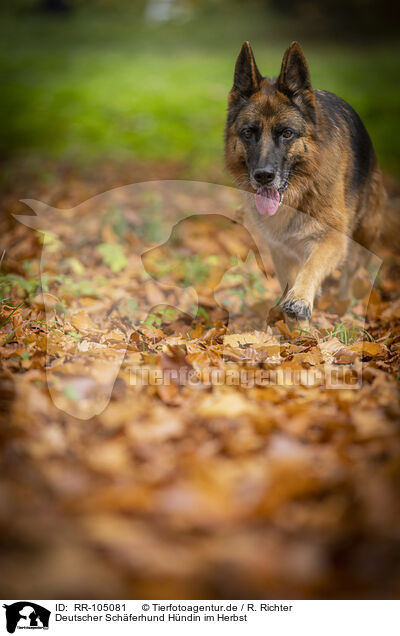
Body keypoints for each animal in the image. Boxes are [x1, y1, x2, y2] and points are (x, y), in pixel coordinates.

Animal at [225, 41, 384, 322]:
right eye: (248, 133)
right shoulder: (279, 249)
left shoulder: (334, 238)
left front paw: (300, 299)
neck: (301, 190)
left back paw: (344, 309)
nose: (263, 176)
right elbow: (291, 276)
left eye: (287, 133)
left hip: (364, 234)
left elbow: (313, 265)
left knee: (349, 276)